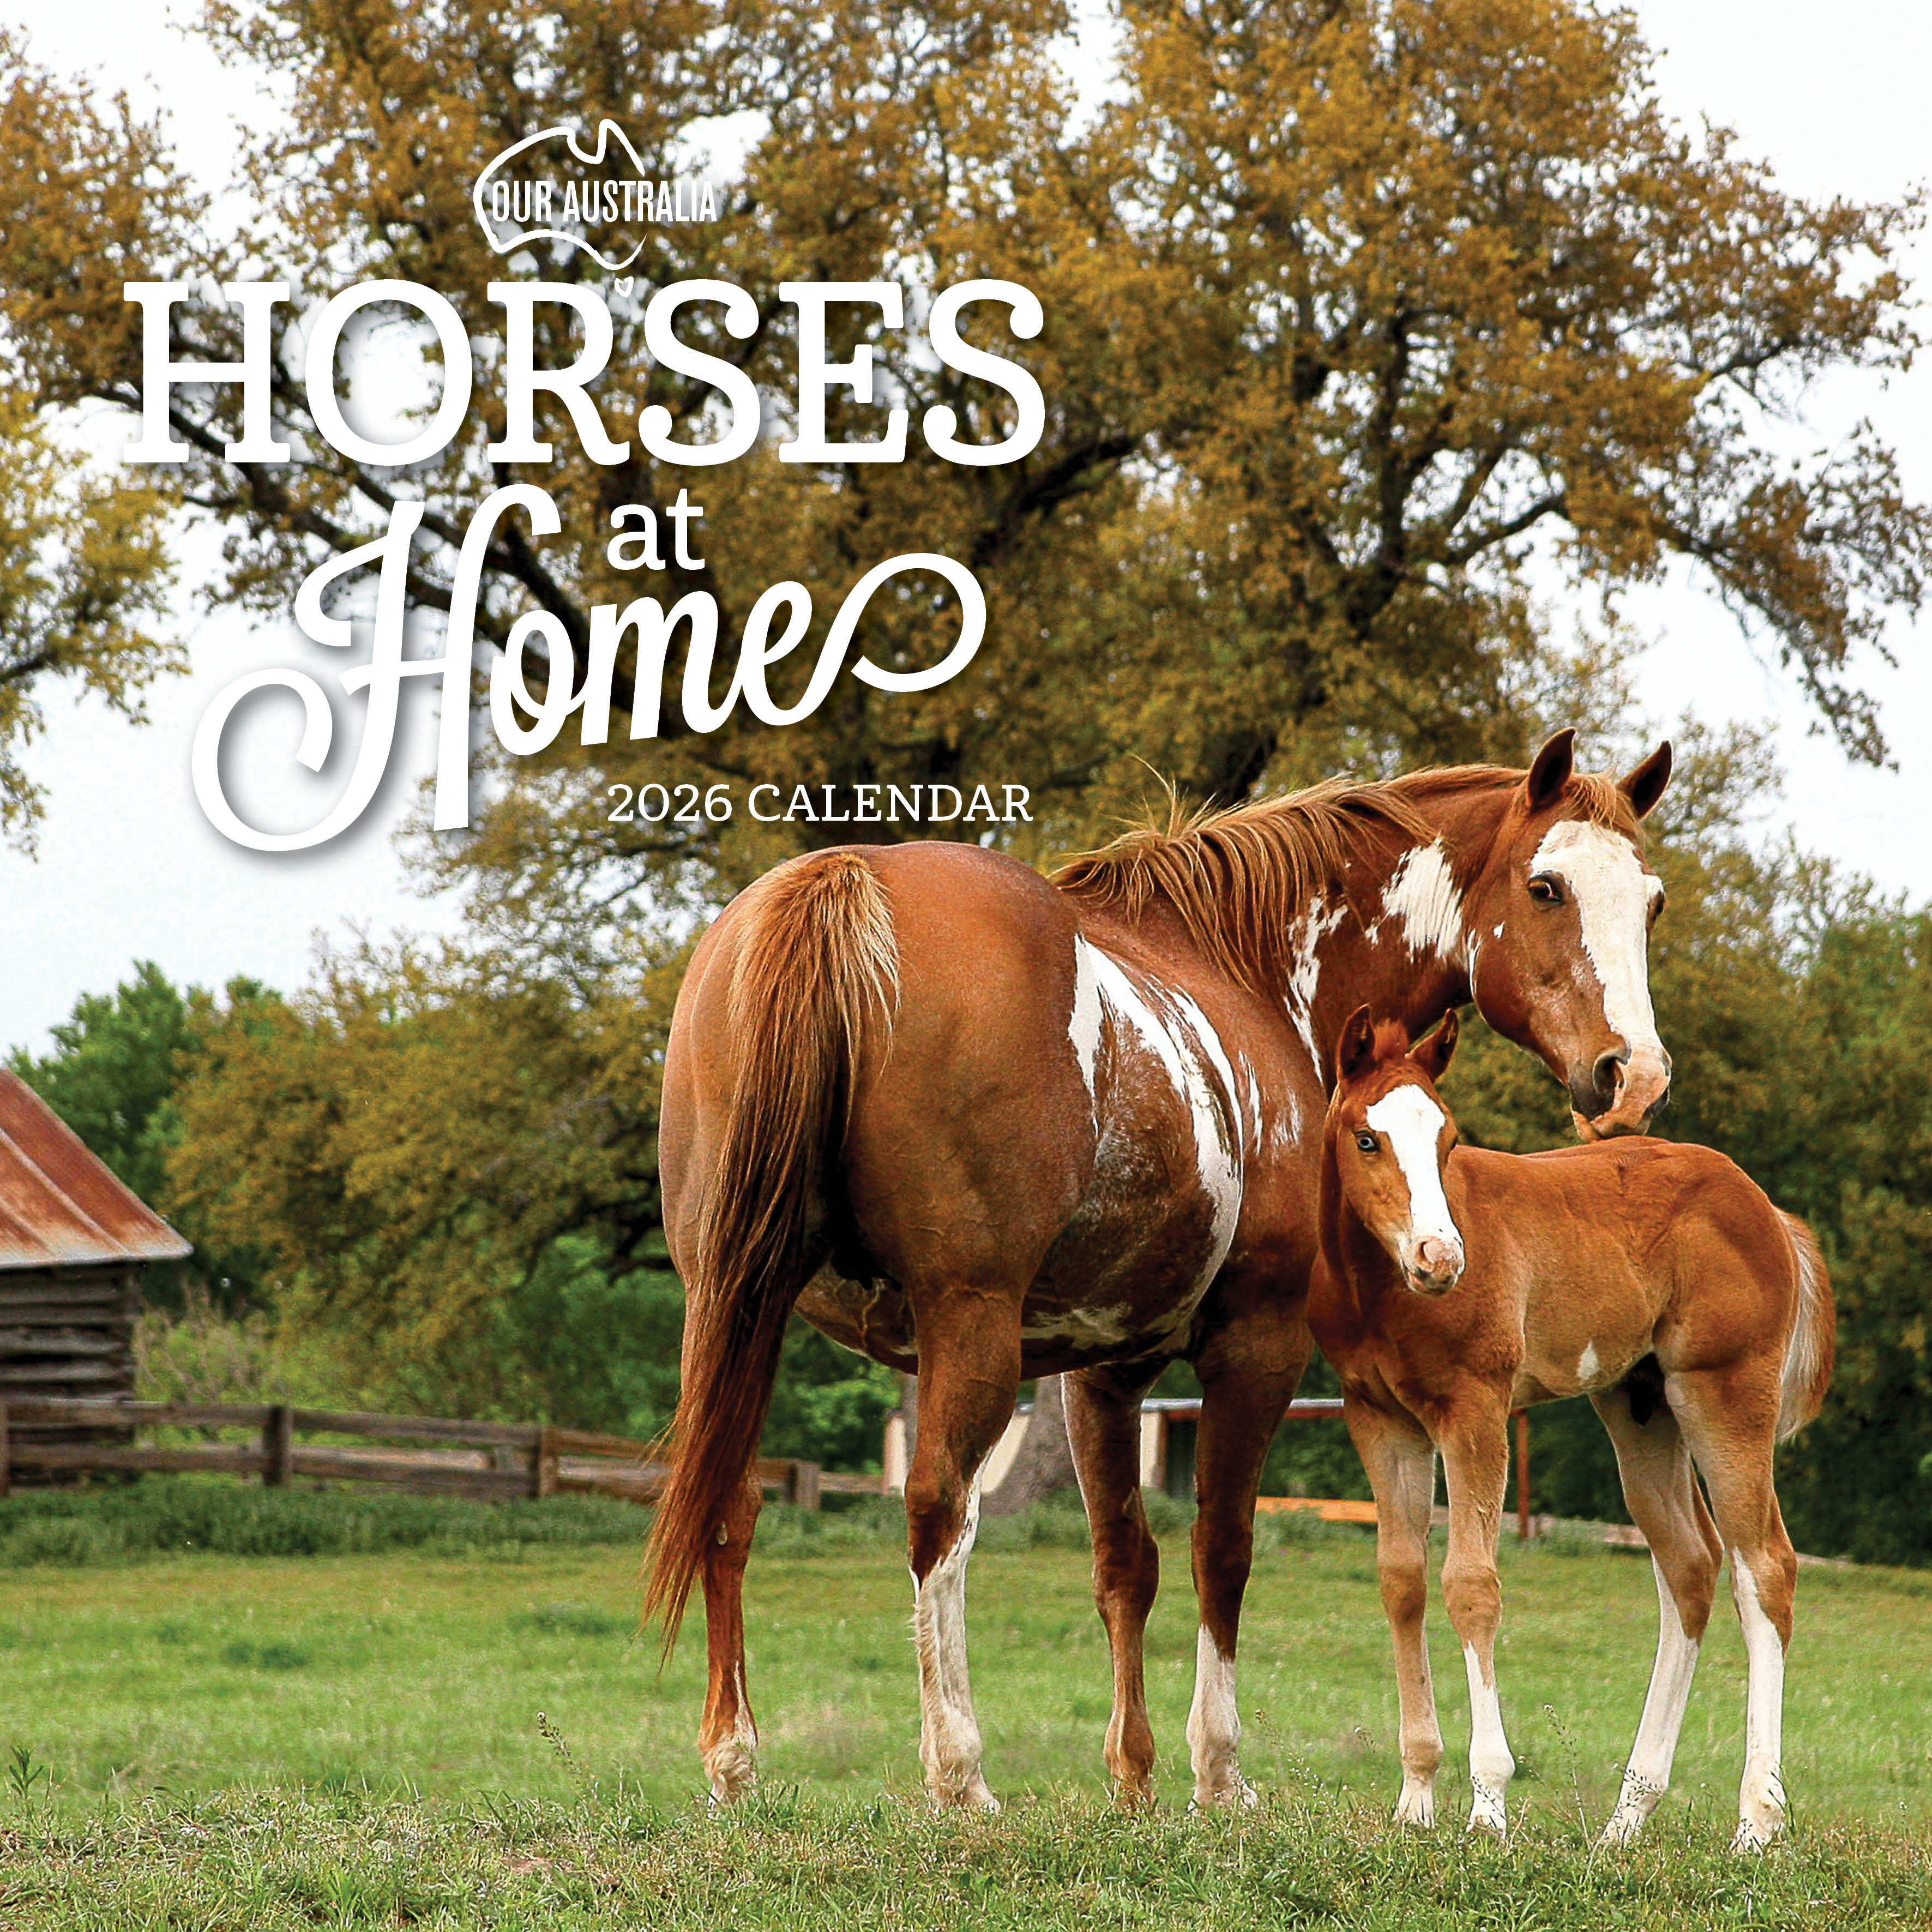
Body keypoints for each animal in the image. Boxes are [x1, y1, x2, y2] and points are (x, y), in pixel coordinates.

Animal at [645, 727, 1675, 1810]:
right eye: (1546, 886)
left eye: (1649, 900)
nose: (1631, 1075)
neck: (1250, 971)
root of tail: (838, 881)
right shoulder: (1256, 1344)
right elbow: (1220, 1547)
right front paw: (1217, 1770)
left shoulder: (1099, 1371)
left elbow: (1123, 1561)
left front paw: (1132, 1776)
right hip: (962, 1321)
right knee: (937, 1508)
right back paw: (958, 1770)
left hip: (734, 1305)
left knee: (730, 1499)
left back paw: (734, 1758)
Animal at [1307, 1006, 1834, 1849]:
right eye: (1366, 1138)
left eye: (1449, 1138)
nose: (1438, 1256)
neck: (1380, 1291)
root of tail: (1765, 1208)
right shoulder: (1379, 1418)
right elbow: (1401, 1581)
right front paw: (1415, 1800)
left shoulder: (1476, 1408)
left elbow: (1471, 1584)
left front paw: (1487, 1807)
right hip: (1639, 1405)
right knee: (1690, 1565)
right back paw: (1625, 1820)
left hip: (1723, 1392)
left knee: (1764, 1568)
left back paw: (1756, 1821)